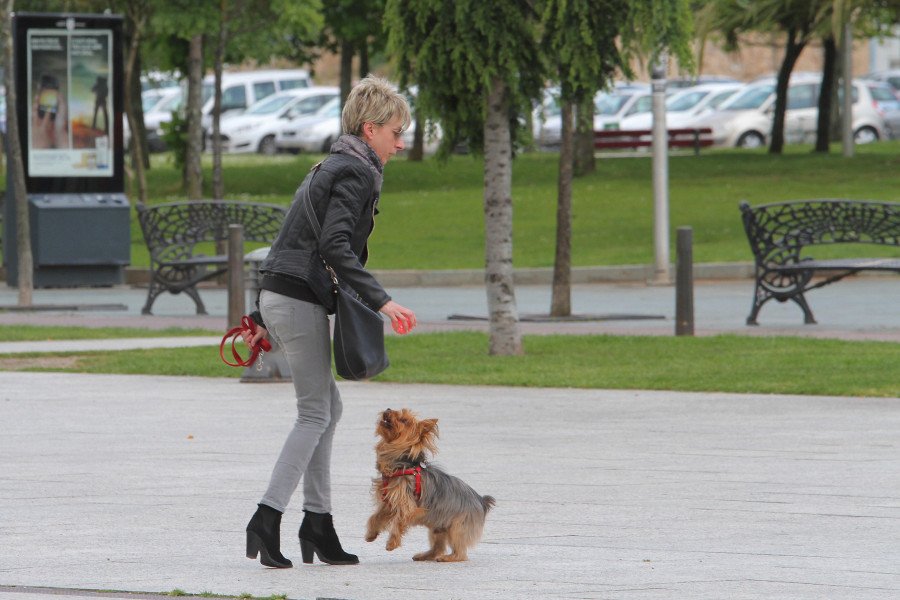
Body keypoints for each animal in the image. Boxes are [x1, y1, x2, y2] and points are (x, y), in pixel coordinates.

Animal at [362, 408, 496, 564]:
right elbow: (375, 517)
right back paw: (426, 555)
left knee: (460, 552)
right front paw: (371, 533)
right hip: (439, 526)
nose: (388, 409)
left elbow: (397, 522)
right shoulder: (389, 503)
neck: (402, 466)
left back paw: (448, 558)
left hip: (458, 526)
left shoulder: (407, 506)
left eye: (404, 421)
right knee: (438, 547)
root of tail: (482, 501)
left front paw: (392, 543)